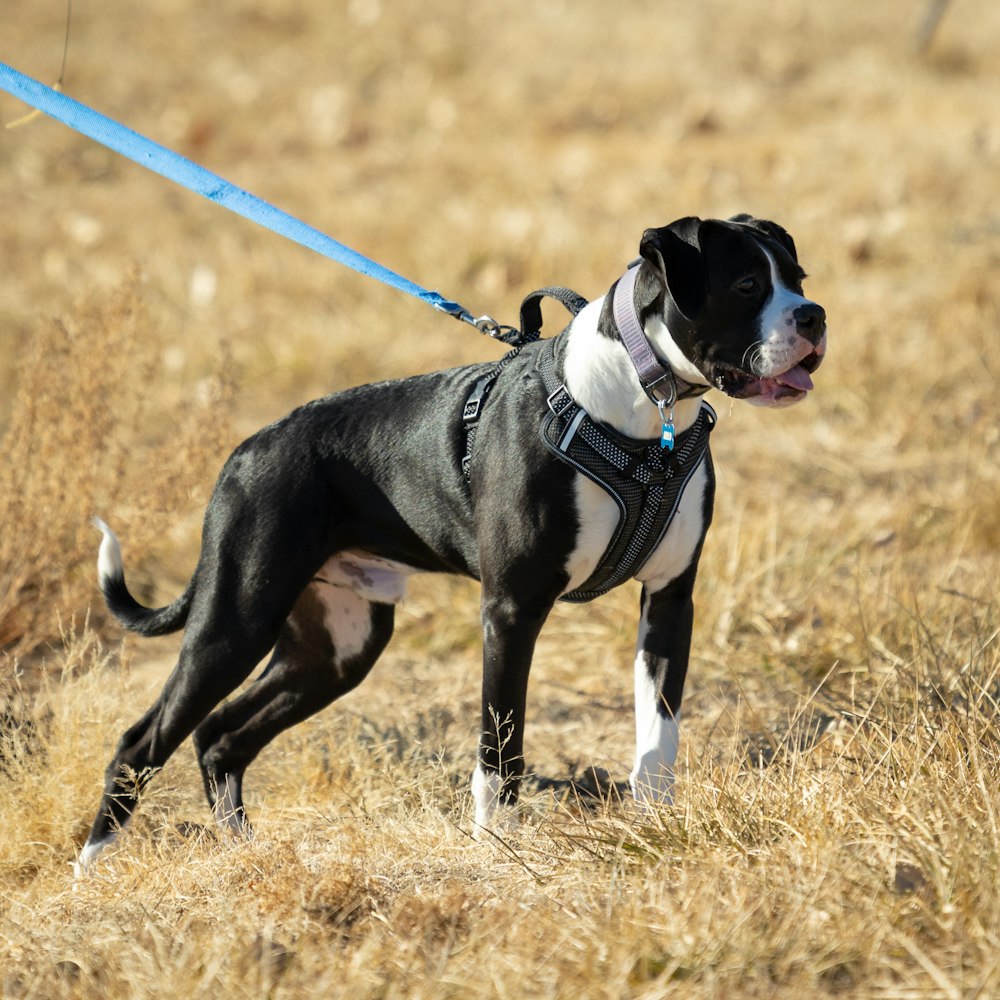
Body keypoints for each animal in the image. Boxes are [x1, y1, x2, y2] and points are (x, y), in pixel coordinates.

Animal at [74, 215, 828, 872]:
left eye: (798, 277)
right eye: (746, 286)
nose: (814, 316)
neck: (644, 410)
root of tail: (243, 454)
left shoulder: (669, 601)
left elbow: (657, 736)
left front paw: (656, 822)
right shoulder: (512, 611)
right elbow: (502, 741)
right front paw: (499, 845)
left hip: (338, 647)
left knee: (222, 736)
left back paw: (243, 851)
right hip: (236, 619)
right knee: (144, 739)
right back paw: (92, 867)